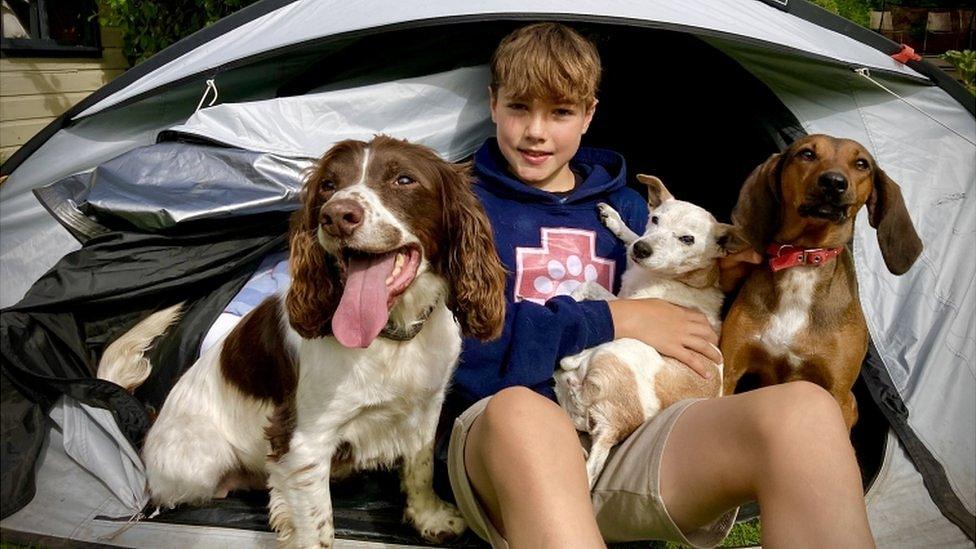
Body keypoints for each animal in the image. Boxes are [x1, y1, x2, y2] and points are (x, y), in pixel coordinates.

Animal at [552, 174, 744, 484]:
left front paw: (569, 296)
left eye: (687, 239)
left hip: (624, 346)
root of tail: (614, 427)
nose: (643, 250)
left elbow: (589, 286)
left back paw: (572, 358)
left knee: (576, 362)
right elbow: (630, 237)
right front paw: (616, 221)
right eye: (654, 219)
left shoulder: (628, 305)